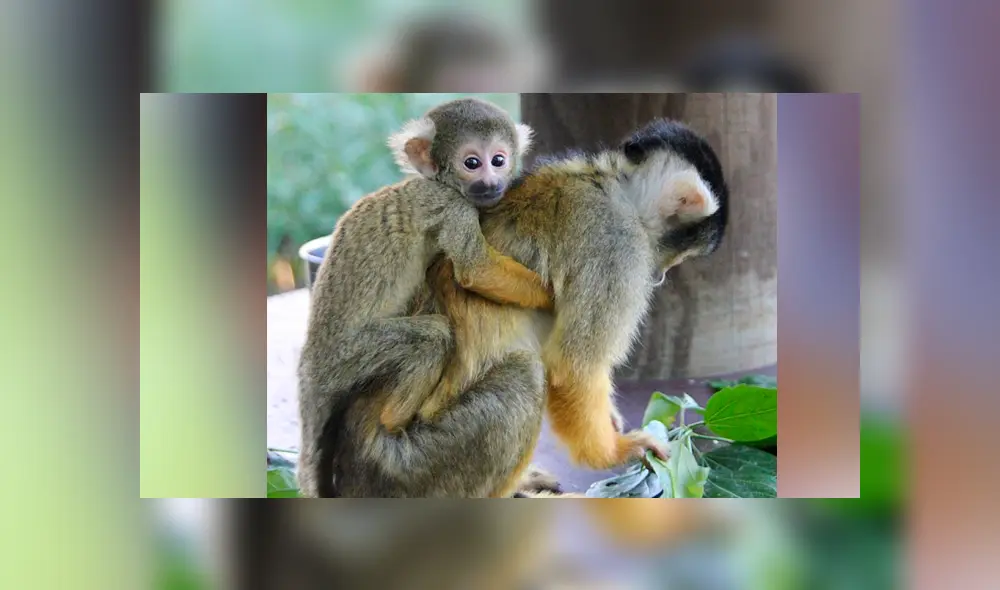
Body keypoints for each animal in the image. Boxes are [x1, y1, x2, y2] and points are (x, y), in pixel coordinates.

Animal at [296, 97, 553, 498]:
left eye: (499, 159)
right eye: (472, 163)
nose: (491, 183)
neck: (440, 182)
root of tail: (312, 365)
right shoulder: (454, 207)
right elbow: (475, 270)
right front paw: (549, 294)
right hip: (348, 355)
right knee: (432, 338)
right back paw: (392, 418)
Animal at [321, 118, 728, 498]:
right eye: (676, 257)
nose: (659, 276)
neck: (613, 186)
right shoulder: (615, 243)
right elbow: (572, 368)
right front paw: (616, 452)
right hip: (411, 470)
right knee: (524, 377)